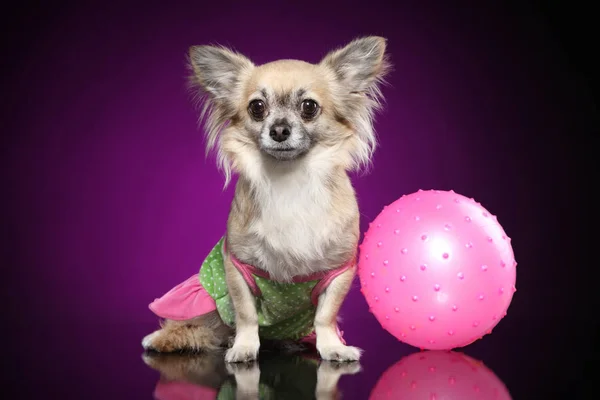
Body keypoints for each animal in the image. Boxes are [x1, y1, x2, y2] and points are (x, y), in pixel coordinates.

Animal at [143, 36, 392, 364]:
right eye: (257, 107)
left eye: (309, 107)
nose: (279, 130)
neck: (289, 179)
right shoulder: (236, 268)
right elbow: (246, 314)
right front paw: (244, 347)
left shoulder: (340, 270)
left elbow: (325, 316)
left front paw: (332, 347)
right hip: (203, 301)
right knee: (196, 326)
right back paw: (169, 339)